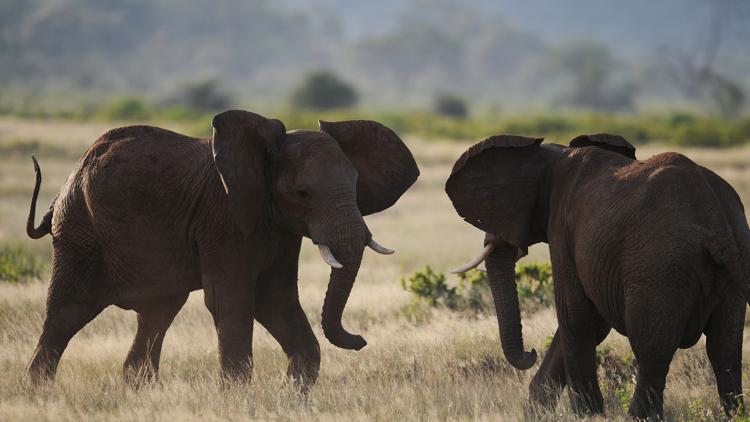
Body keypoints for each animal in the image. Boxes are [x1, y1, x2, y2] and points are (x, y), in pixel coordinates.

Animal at [25, 109, 418, 390]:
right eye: (303, 194)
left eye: (356, 185)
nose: (361, 340)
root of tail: (69, 177)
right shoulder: (224, 219)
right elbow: (232, 301)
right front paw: (239, 396)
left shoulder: (278, 230)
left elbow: (275, 300)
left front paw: (292, 395)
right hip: (79, 230)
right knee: (68, 310)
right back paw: (39, 393)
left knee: (158, 312)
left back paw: (137, 389)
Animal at [446, 134, 750, 418]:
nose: (531, 352)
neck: (552, 155)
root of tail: (715, 220)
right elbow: (594, 322)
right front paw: (539, 410)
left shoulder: (562, 228)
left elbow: (575, 316)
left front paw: (587, 415)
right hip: (732, 259)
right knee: (724, 349)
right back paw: (734, 415)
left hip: (659, 265)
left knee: (652, 350)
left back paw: (637, 417)